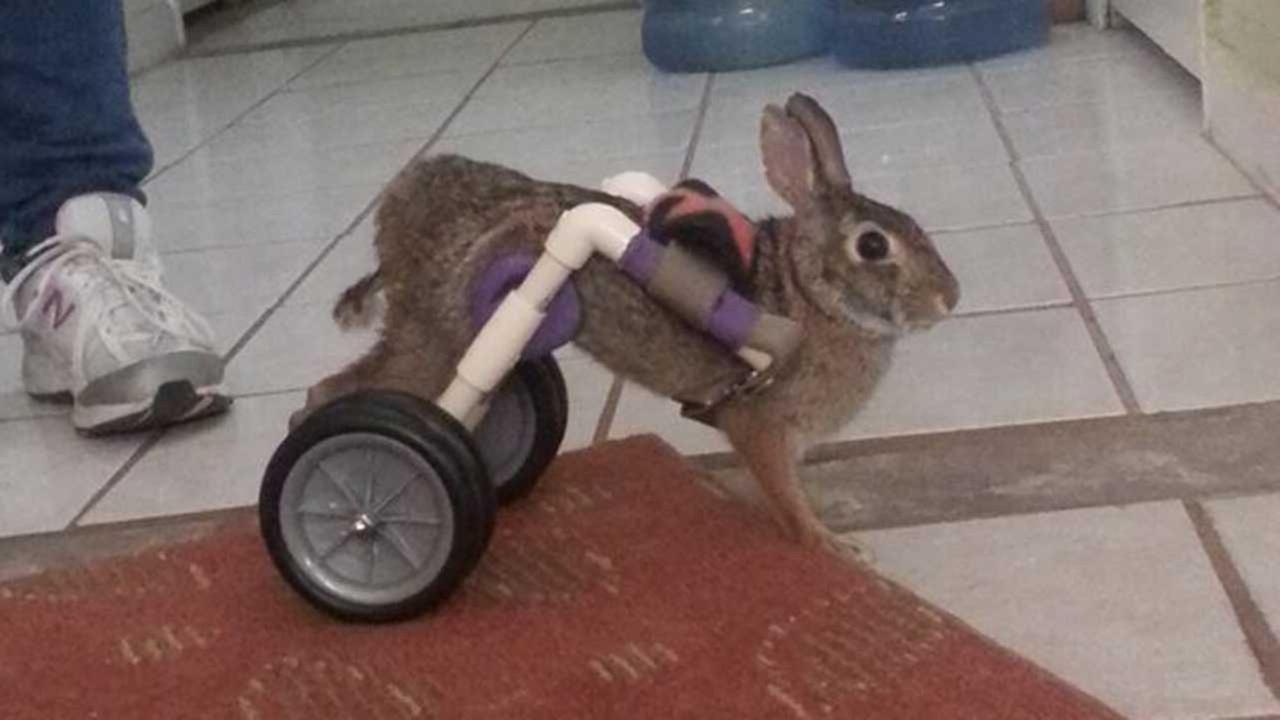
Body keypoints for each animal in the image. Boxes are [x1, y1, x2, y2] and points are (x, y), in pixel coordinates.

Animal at [296, 94, 962, 556]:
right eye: (873, 246)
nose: (948, 299)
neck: (808, 296)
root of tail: (397, 209)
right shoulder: (761, 427)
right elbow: (785, 496)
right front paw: (831, 544)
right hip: (441, 336)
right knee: (343, 393)